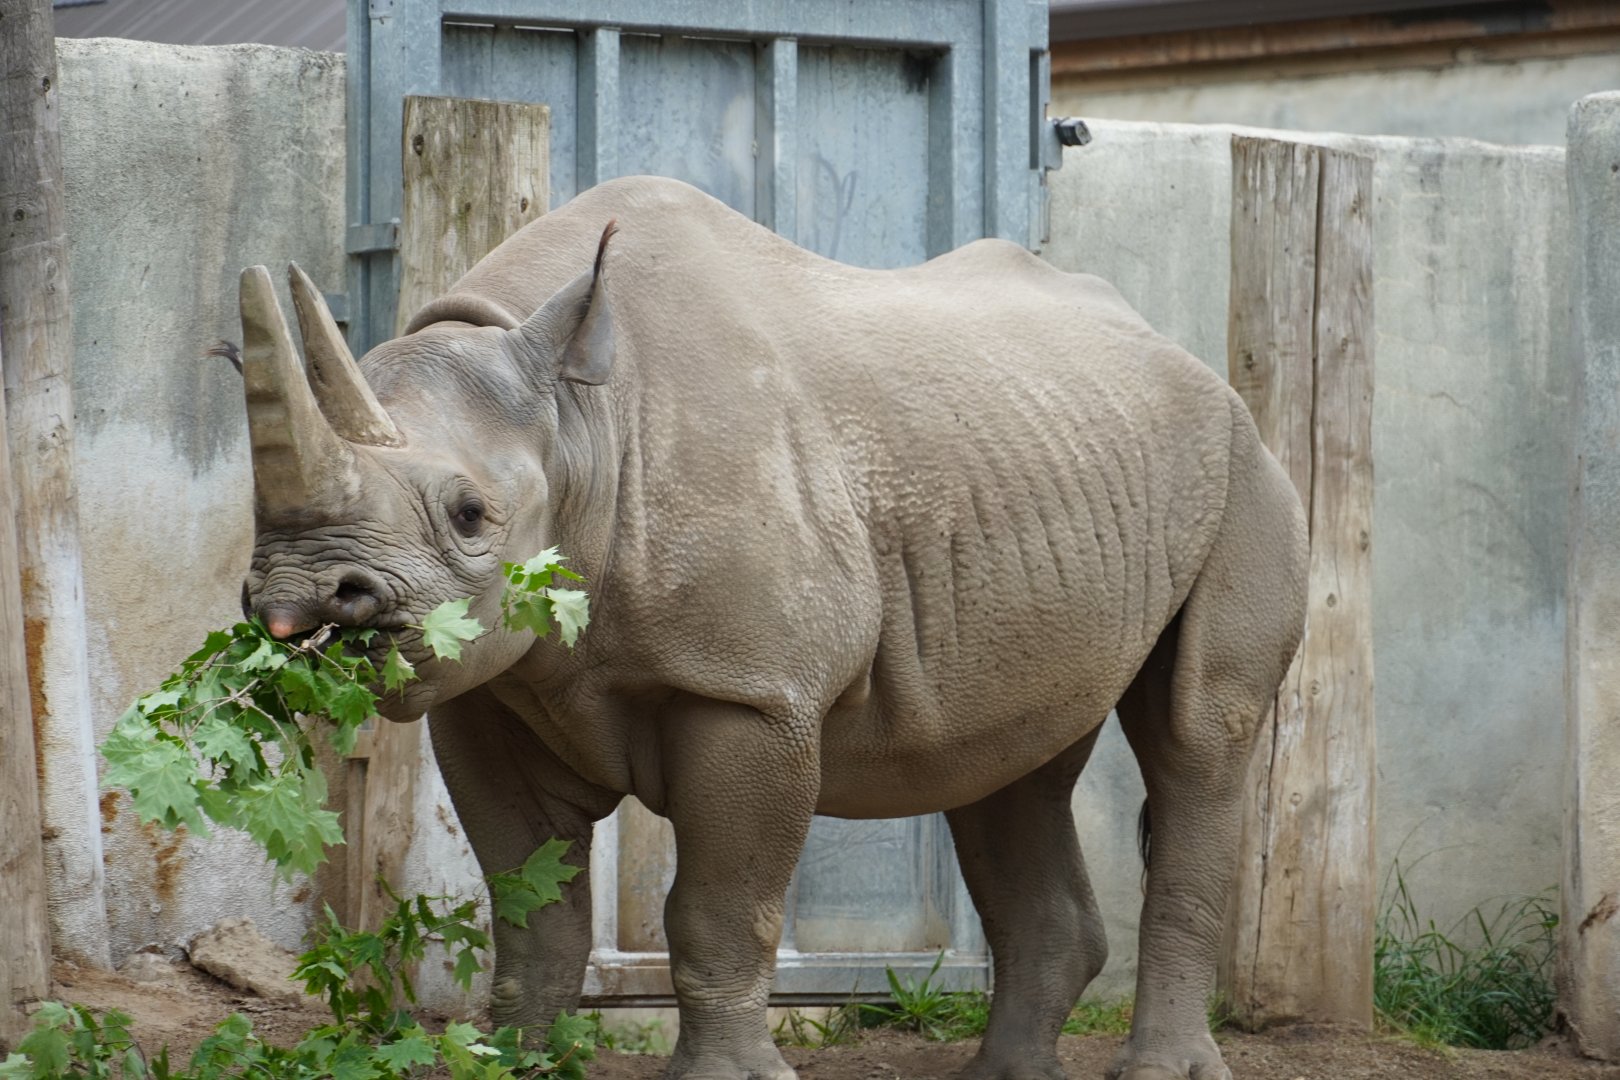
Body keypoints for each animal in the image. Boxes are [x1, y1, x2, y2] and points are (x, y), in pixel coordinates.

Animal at [238, 176, 1307, 1080]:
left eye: (469, 516)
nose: (304, 596)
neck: (579, 418)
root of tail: (1180, 350)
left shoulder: (750, 691)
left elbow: (718, 905)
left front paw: (727, 1078)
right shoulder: (492, 687)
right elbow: (532, 904)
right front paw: (514, 1063)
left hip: (1244, 464)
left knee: (1197, 736)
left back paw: (1163, 1068)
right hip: (1046, 462)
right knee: (1010, 763)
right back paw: (1004, 1075)